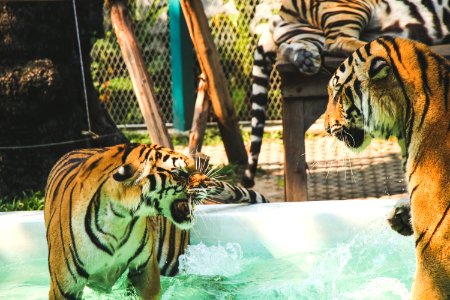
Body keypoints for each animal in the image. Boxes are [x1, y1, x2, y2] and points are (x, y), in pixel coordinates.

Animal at [43, 144, 268, 300]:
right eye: (179, 173)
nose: (206, 181)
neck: (118, 220)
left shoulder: (144, 269)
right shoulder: (65, 287)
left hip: (172, 259)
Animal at [243, 0, 450, 188]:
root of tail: (279, 13)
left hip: (306, 34)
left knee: (292, 46)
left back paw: (306, 59)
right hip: (347, 9)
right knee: (337, 42)